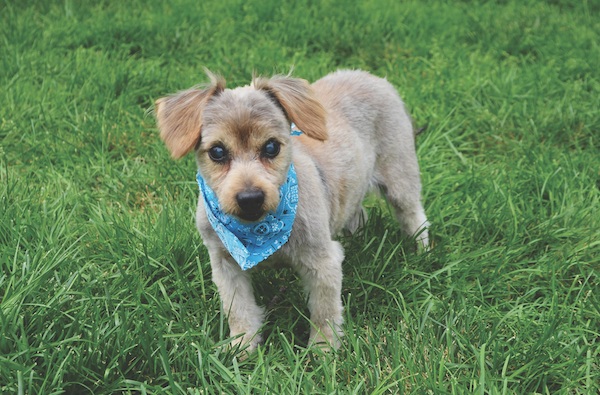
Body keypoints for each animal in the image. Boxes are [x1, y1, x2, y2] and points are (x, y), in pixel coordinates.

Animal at [154, 69, 426, 356]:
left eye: (271, 147)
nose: (250, 198)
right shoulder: (225, 263)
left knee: (415, 216)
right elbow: (238, 309)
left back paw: (421, 252)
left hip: (400, 177)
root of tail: (371, 77)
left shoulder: (322, 262)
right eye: (217, 151)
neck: (258, 233)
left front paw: (323, 349)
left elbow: (324, 312)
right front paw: (242, 347)